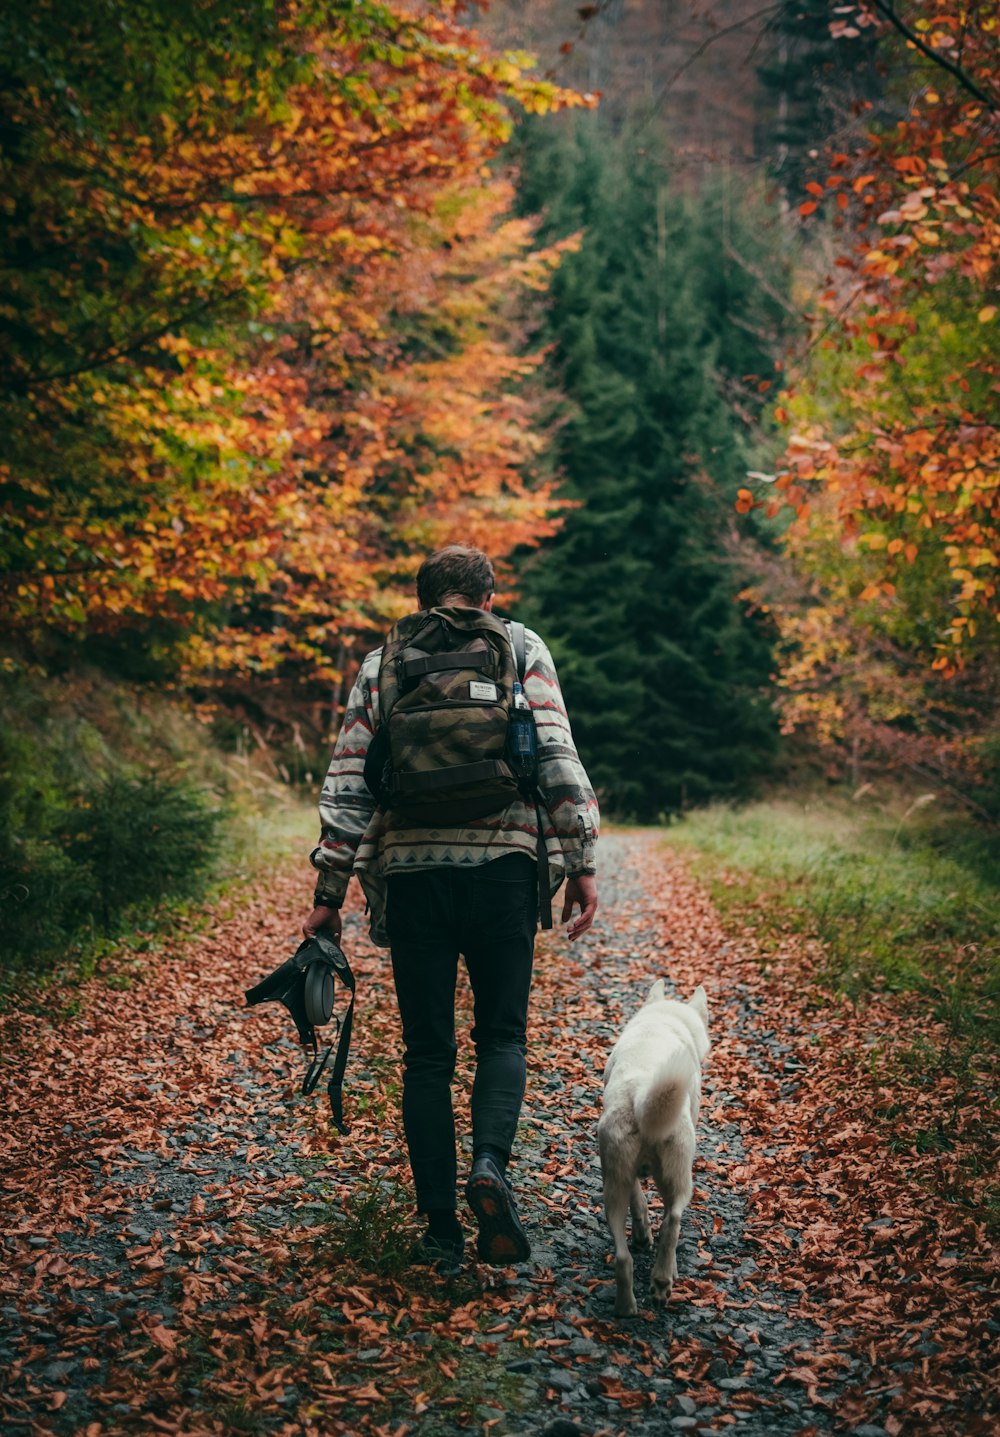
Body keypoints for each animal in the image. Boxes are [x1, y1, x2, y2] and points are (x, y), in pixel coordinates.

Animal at [597, 982, 706, 1316]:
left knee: (622, 1257)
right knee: (672, 1223)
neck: (662, 1020)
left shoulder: (627, 1175)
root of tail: (639, 1096)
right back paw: (662, 1281)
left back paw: (625, 1307)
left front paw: (642, 1232)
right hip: (681, 1178)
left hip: (613, 1182)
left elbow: (639, 1200)